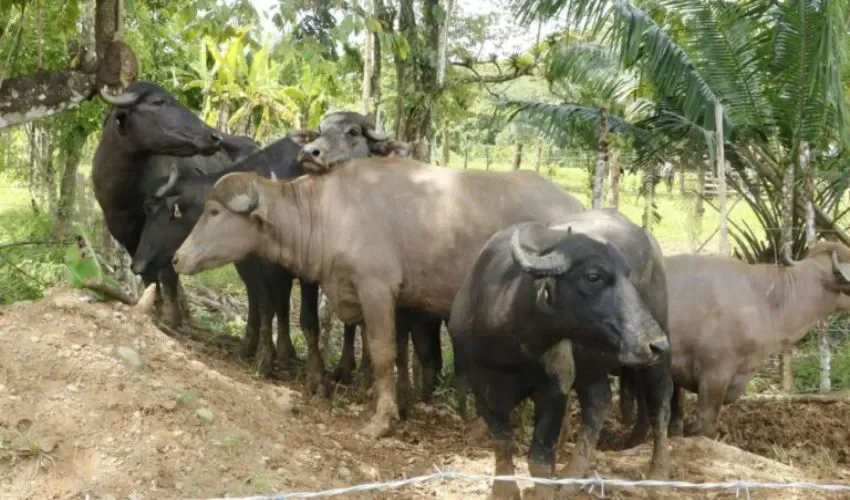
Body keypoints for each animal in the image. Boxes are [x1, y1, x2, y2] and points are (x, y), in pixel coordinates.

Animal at [91, 80, 255, 326]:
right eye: (158, 102)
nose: (214, 137)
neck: (126, 191)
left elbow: (167, 271)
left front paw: (172, 316)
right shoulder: (126, 235)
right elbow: (145, 272)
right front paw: (153, 306)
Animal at [167, 159, 584, 438]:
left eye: (213, 210)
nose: (177, 258)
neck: (332, 211)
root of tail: (577, 208)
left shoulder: (377, 289)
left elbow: (382, 353)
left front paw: (381, 419)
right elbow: (390, 353)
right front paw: (390, 403)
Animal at [448, 209, 672, 498]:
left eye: (628, 275)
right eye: (593, 276)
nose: (655, 343)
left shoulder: (555, 389)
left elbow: (540, 460)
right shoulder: (481, 390)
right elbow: (502, 443)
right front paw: (504, 490)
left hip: (655, 355)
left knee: (660, 401)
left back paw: (658, 473)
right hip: (590, 365)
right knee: (598, 402)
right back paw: (572, 476)